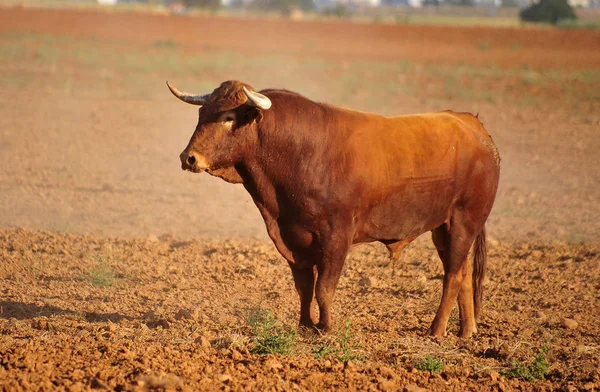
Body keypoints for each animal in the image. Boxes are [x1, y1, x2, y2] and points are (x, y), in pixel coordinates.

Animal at [166, 79, 500, 336]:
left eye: (229, 118)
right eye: (202, 113)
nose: (188, 157)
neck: (298, 151)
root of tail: (474, 126)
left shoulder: (336, 237)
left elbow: (324, 287)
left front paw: (325, 328)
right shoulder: (292, 237)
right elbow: (304, 286)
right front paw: (304, 324)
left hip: (464, 221)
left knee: (453, 275)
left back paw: (437, 329)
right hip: (443, 228)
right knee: (462, 272)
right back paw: (466, 331)